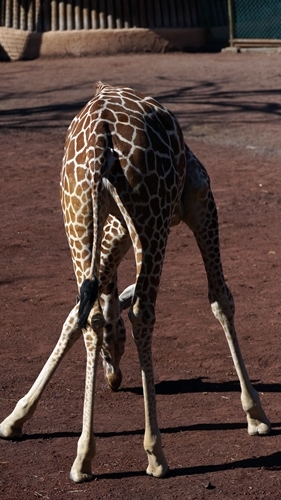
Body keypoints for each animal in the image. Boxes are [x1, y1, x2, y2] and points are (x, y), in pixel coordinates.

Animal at [0, 82, 272, 480]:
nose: (114, 380)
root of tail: (101, 135)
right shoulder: (200, 196)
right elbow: (221, 298)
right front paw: (256, 414)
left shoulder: (114, 228)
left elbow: (76, 314)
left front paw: (15, 419)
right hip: (151, 217)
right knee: (142, 312)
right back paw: (154, 452)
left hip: (78, 213)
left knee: (91, 314)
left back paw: (84, 456)